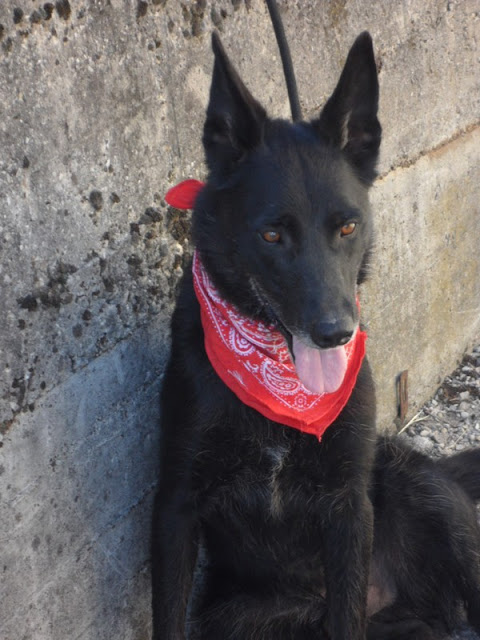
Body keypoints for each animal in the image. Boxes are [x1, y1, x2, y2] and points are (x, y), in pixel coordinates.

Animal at [152, 26, 480, 640]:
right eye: (272, 234)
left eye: (348, 227)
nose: (335, 334)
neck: (280, 386)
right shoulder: (176, 504)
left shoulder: (348, 505)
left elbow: (345, 612)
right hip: (238, 617)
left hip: (415, 484)